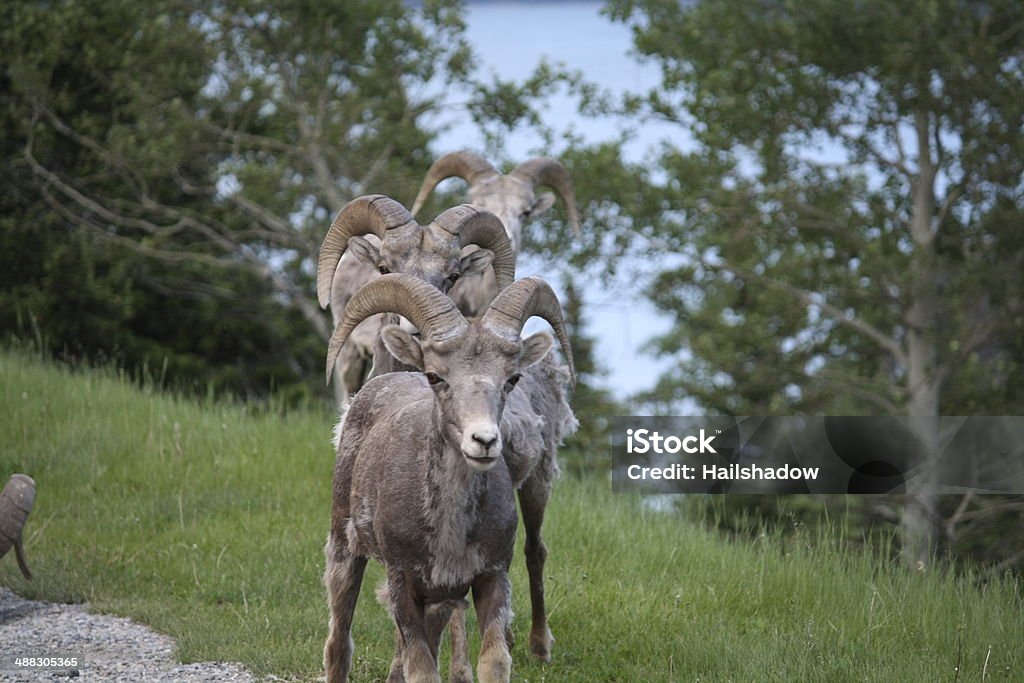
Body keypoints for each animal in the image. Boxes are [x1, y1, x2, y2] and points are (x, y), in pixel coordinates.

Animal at [319, 196, 577, 667]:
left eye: (452, 276)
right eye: (384, 267)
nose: (413, 331)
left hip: (538, 483)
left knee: (535, 552)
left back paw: (537, 645)